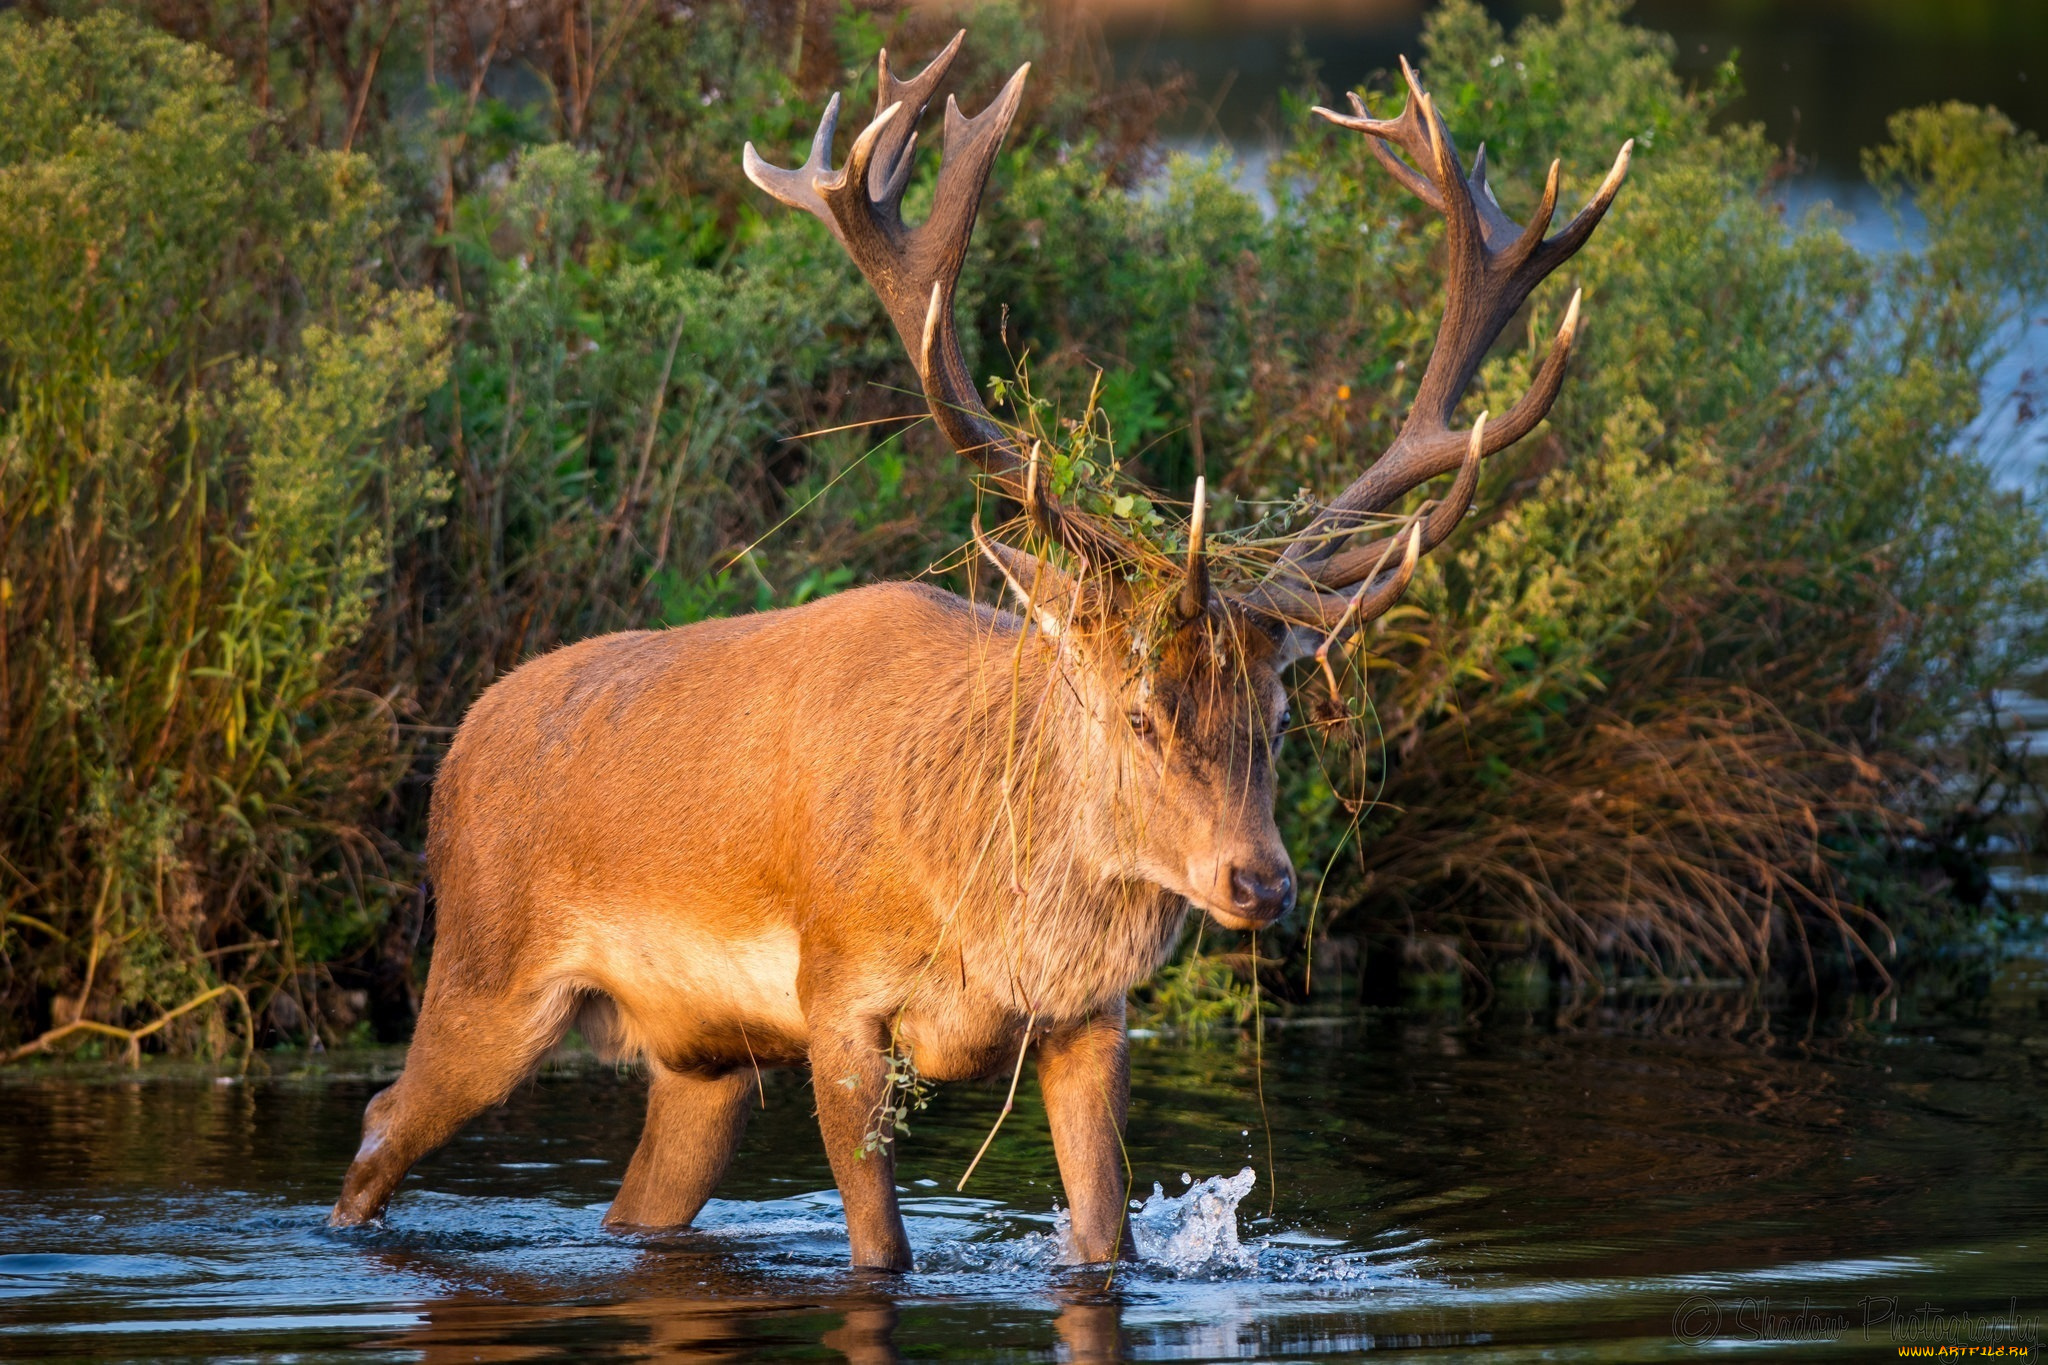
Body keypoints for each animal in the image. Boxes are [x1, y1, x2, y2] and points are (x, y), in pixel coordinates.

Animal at [327, 31, 1622, 1268]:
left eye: (1280, 715)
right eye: (1135, 711)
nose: (1258, 882)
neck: (990, 915)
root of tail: (462, 741)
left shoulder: (1092, 1019)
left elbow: (1102, 1241)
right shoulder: (836, 995)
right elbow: (881, 1250)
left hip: (700, 1056)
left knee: (632, 1201)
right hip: (485, 968)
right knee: (380, 1119)